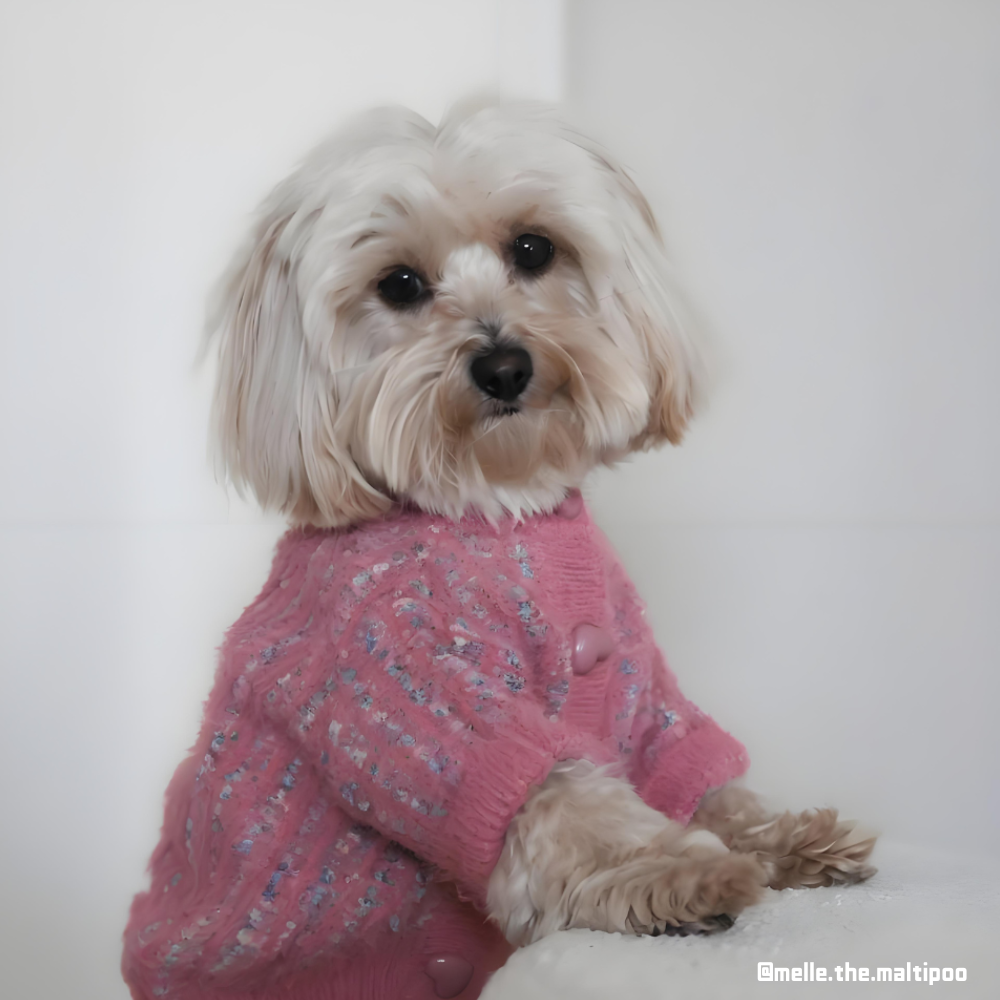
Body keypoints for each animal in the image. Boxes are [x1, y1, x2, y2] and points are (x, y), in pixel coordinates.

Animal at [123, 101, 876, 1000]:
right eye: (400, 285)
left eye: (534, 249)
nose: (505, 365)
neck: (498, 504)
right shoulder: (409, 690)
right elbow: (561, 802)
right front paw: (678, 871)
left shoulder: (634, 682)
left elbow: (694, 777)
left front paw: (784, 835)